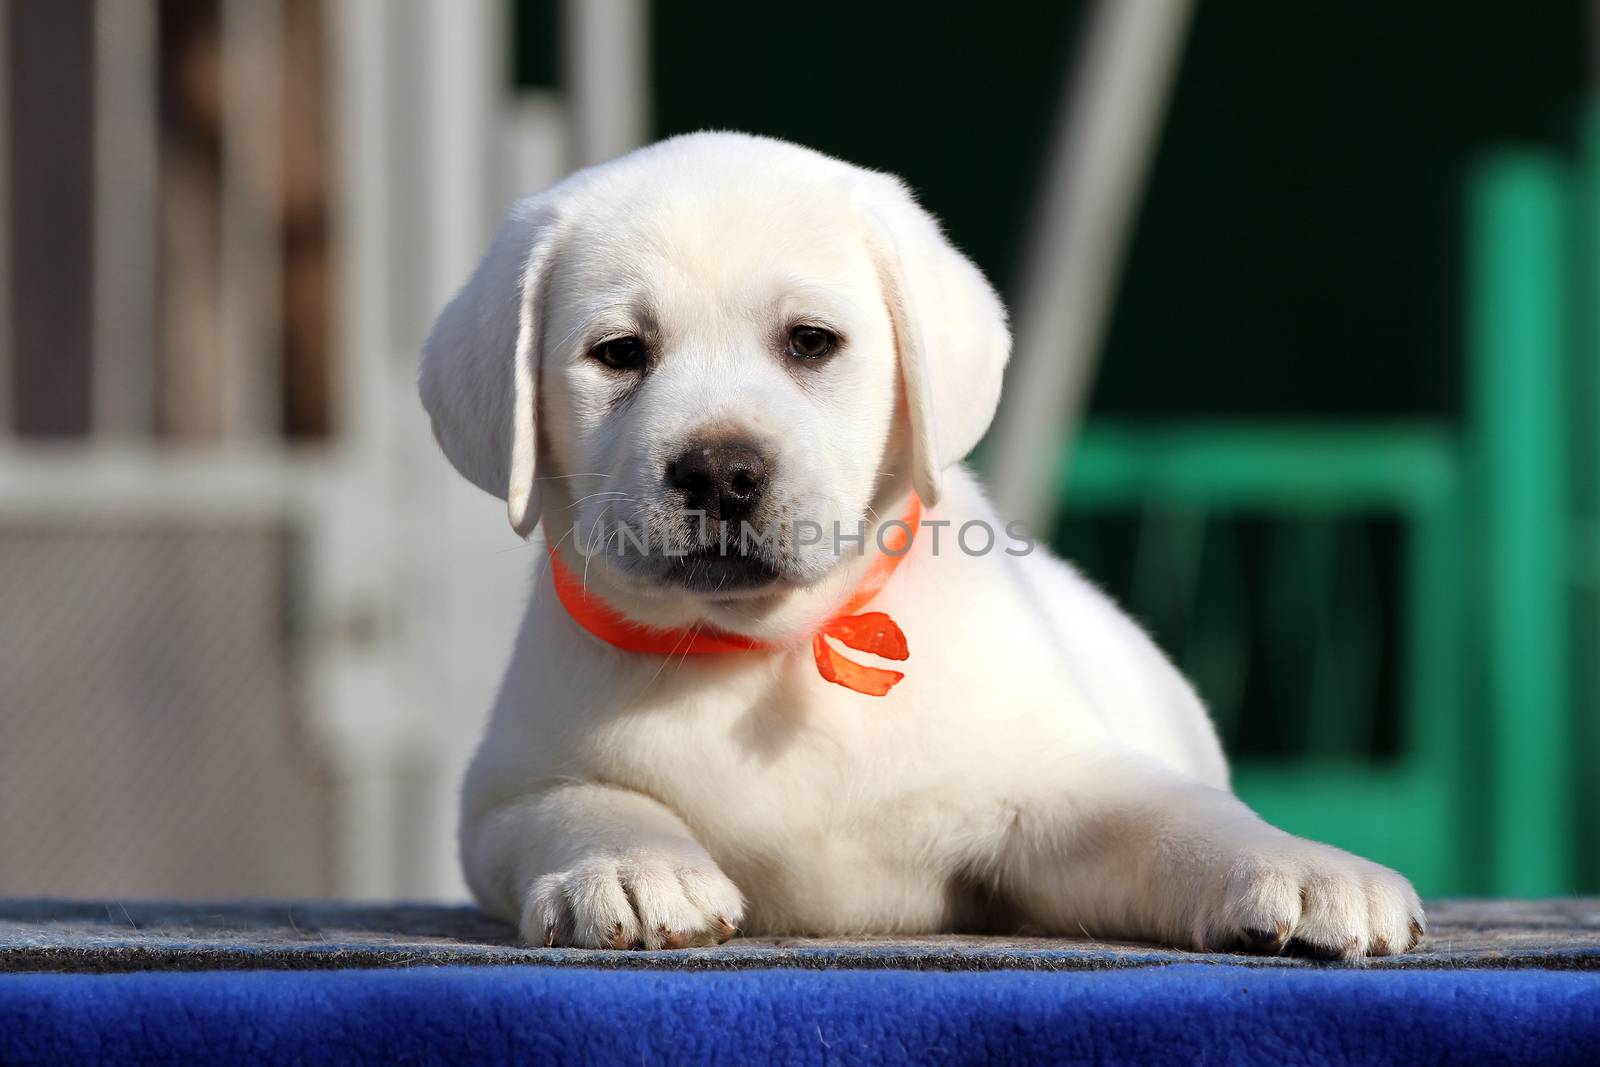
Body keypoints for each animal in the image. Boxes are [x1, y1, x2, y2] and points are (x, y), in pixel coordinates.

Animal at [416, 133, 1427, 959]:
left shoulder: (1055, 788)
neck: (769, 650)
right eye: (620, 352)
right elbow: (583, 802)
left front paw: (1307, 868)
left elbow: (1176, 819)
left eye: (810, 341)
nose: (719, 472)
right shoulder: (504, 794)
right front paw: (627, 865)